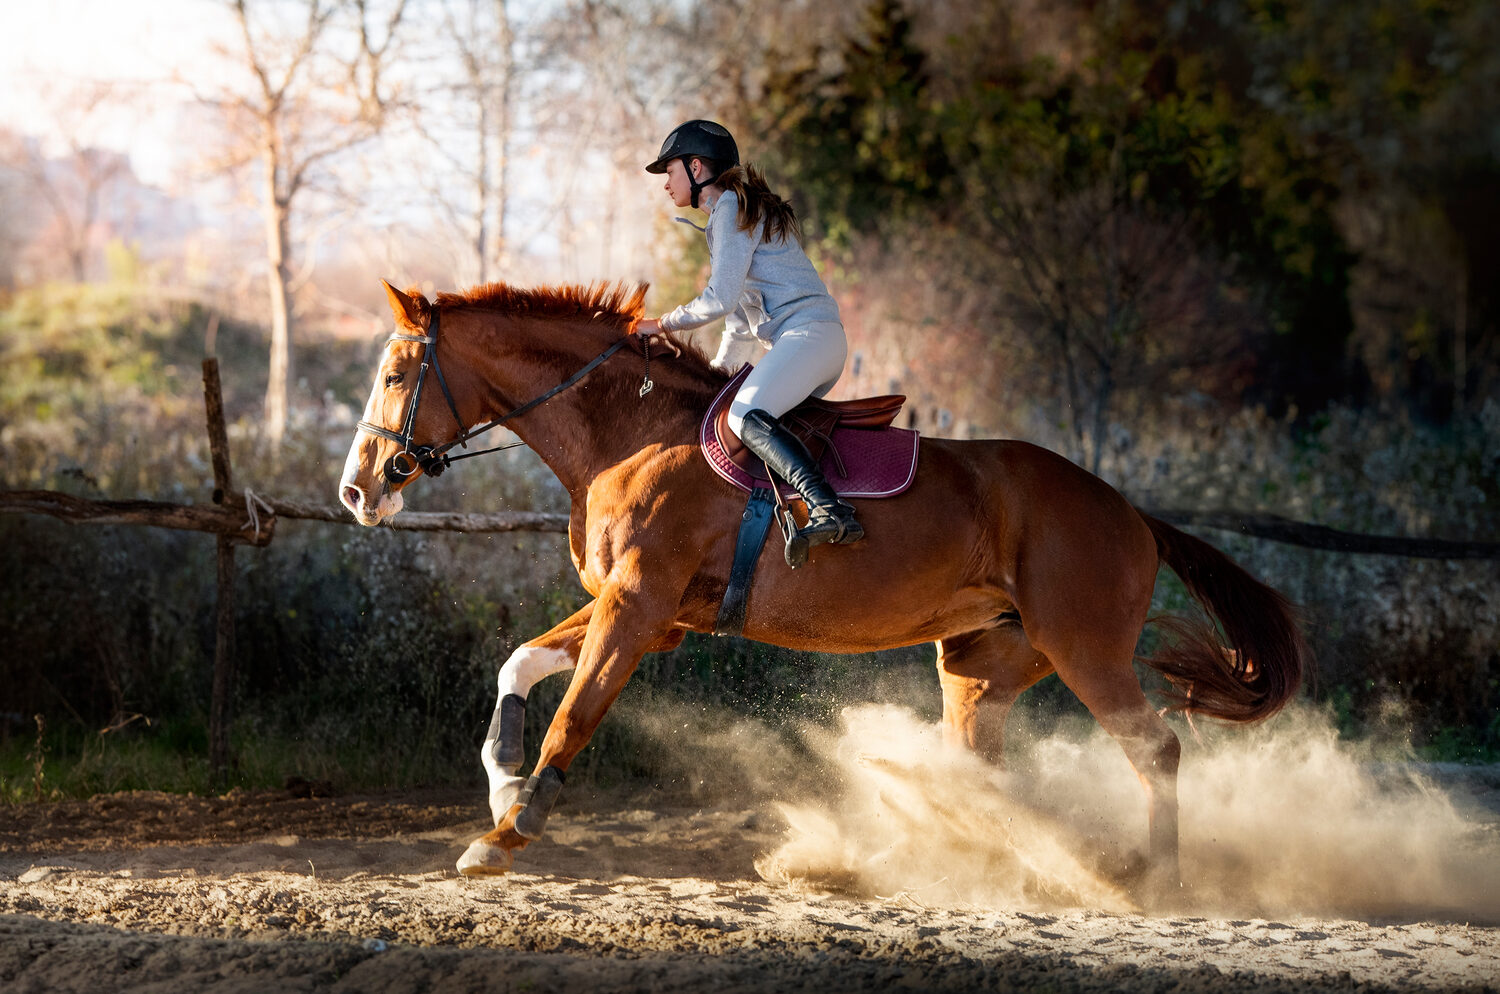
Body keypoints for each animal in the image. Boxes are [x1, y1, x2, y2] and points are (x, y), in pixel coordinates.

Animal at [338, 279, 1305, 900]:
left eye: (395, 375)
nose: (357, 492)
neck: (628, 432)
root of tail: (1134, 513)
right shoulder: (648, 614)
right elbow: (518, 665)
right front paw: (504, 784)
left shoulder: (637, 608)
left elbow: (573, 713)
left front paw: (507, 834)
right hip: (981, 663)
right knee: (980, 771)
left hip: (1085, 649)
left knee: (1156, 751)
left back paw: (1158, 882)